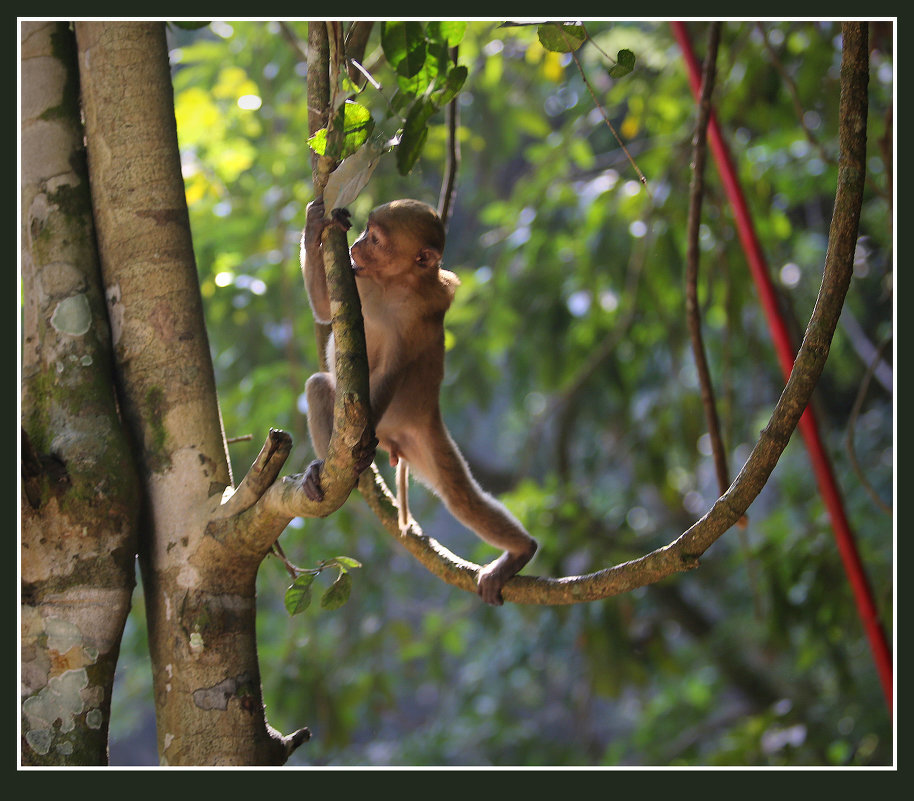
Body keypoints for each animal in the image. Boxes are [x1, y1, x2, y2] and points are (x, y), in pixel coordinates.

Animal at [302, 198, 536, 608]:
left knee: (461, 499)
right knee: (318, 386)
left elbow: (394, 369)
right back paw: (325, 470)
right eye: (366, 232)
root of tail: (395, 439)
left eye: (376, 240)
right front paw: (316, 222)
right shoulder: (358, 280)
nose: (357, 245)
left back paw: (521, 552)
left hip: (419, 433)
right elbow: (323, 309)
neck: (392, 284)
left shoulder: (414, 316)